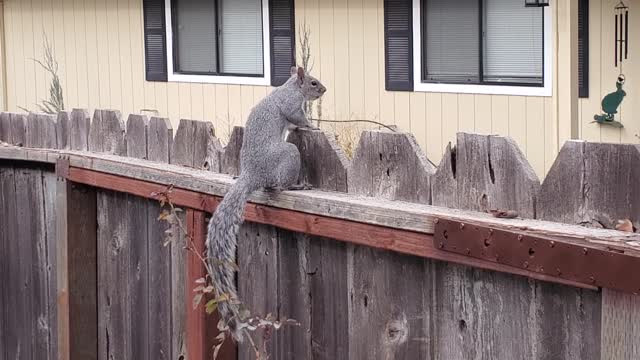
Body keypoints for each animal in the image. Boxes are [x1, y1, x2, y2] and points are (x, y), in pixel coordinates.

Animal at [206, 65, 324, 344]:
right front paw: (313, 127)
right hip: (289, 155)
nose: (324, 90)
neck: (290, 87)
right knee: (278, 185)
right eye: (313, 83)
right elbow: (298, 119)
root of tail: (252, 174)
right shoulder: (291, 106)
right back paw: (298, 185)